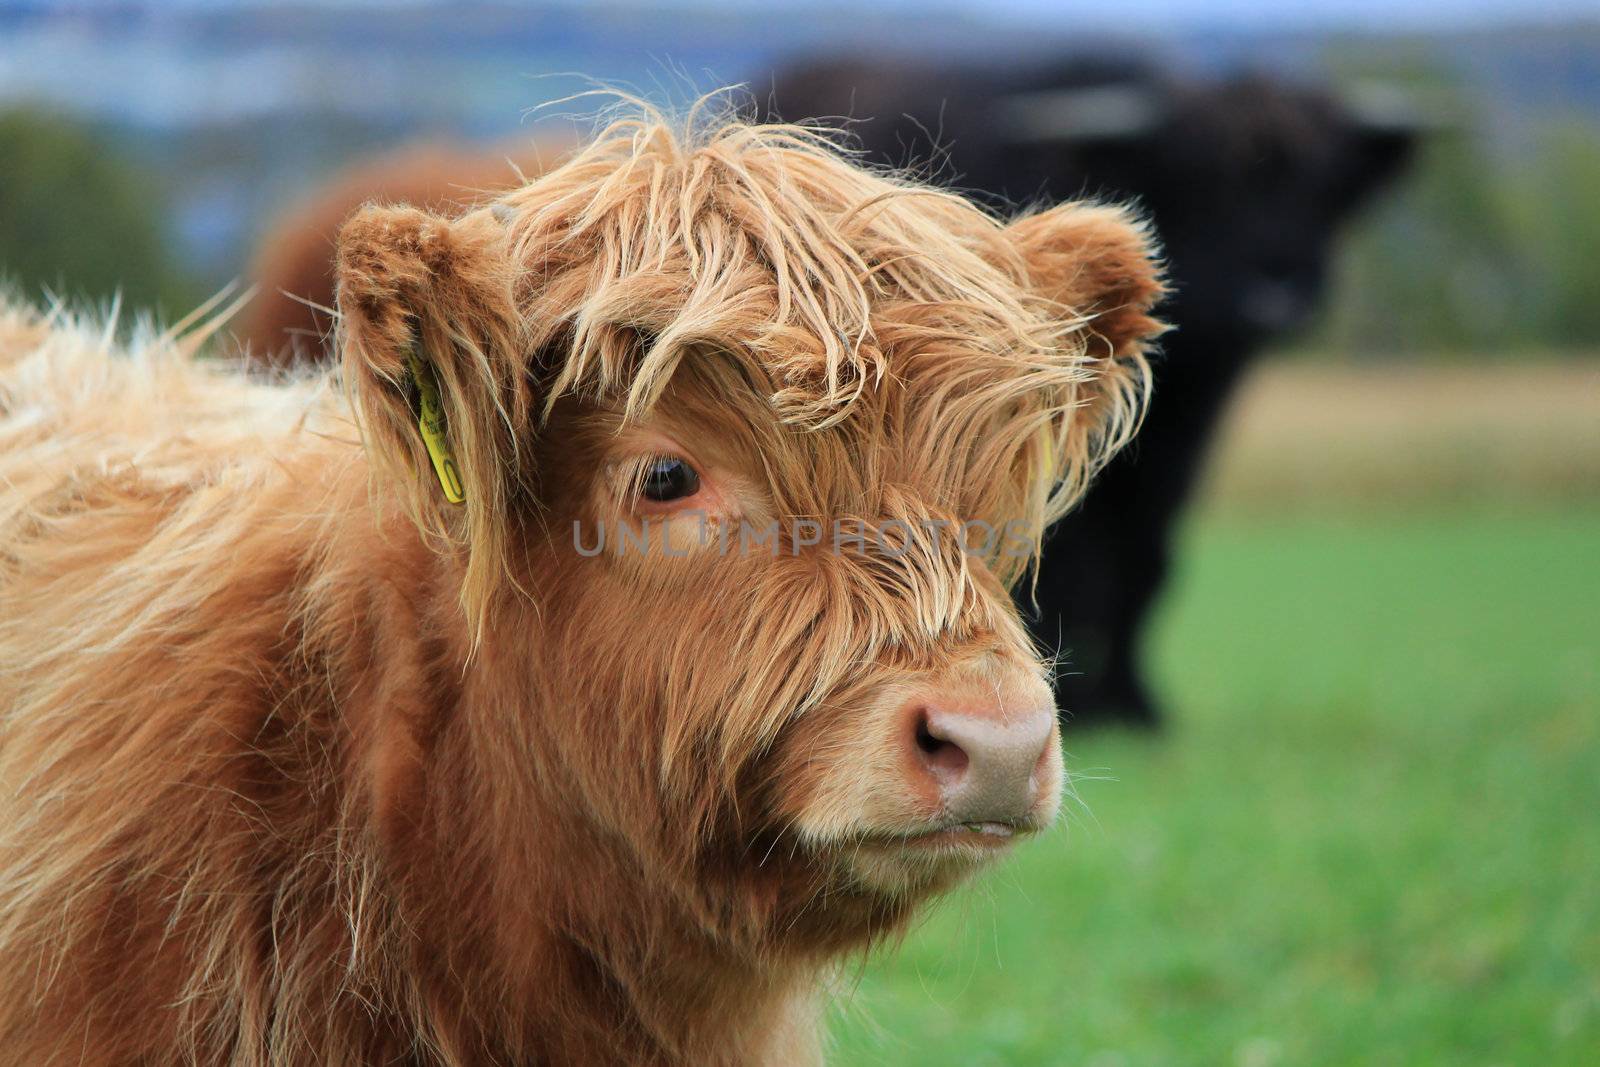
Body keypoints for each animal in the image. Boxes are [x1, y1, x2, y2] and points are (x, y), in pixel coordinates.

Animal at [764, 56, 1427, 726]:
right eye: (1196, 178)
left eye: (1320, 183)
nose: (1276, 291)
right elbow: (1072, 567)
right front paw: (1077, 698)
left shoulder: (1181, 438)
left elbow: (1146, 560)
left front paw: (1135, 701)